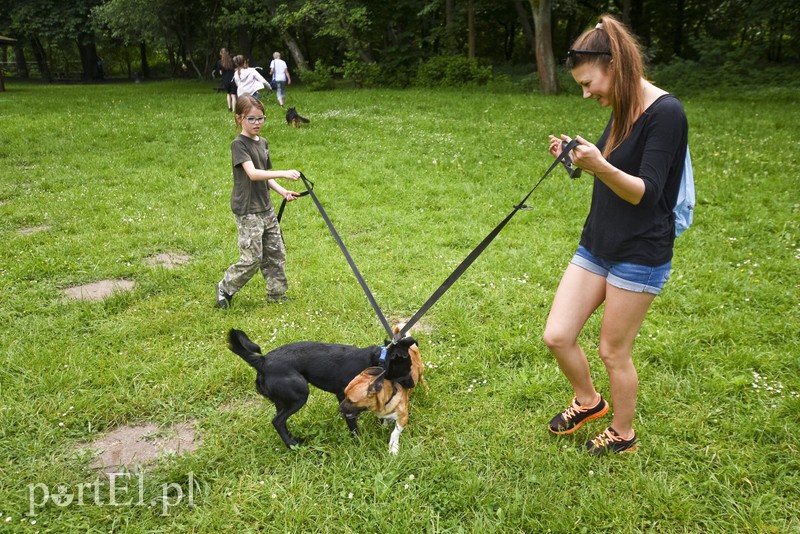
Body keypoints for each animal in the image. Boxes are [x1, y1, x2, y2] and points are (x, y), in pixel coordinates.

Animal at [230, 330, 418, 448]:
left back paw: (292, 439)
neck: (378, 359)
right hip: (300, 394)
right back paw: (292, 445)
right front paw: (358, 440)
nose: (412, 384)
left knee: (281, 421)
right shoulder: (343, 395)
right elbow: (352, 422)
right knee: (277, 421)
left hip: (283, 399)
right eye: (407, 368)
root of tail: (262, 362)